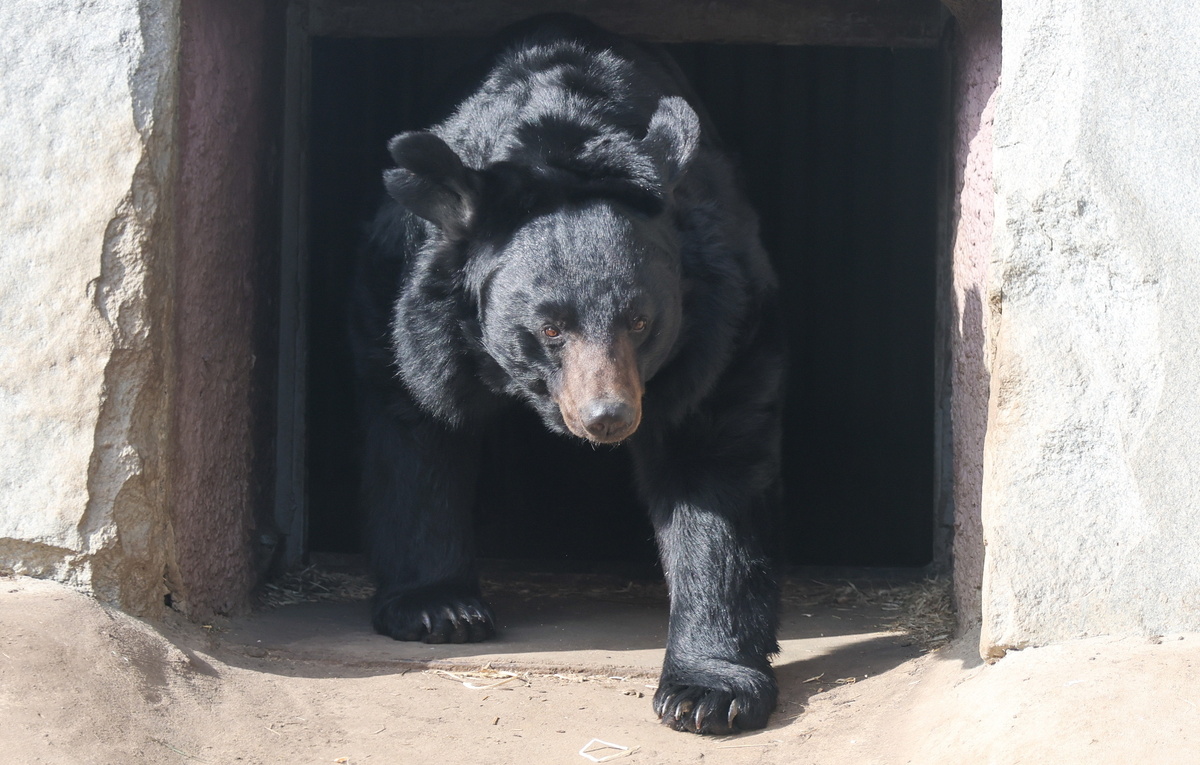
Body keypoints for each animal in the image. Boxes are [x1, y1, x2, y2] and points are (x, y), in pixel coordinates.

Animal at [351, 15, 785, 734]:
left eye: (641, 320)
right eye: (550, 328)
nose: (609, 416)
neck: (566, 142)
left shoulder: (724, 316)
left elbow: (714, 463)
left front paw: (707, 692)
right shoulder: (409, 295)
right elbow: (417, 414)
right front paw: (441, 610)